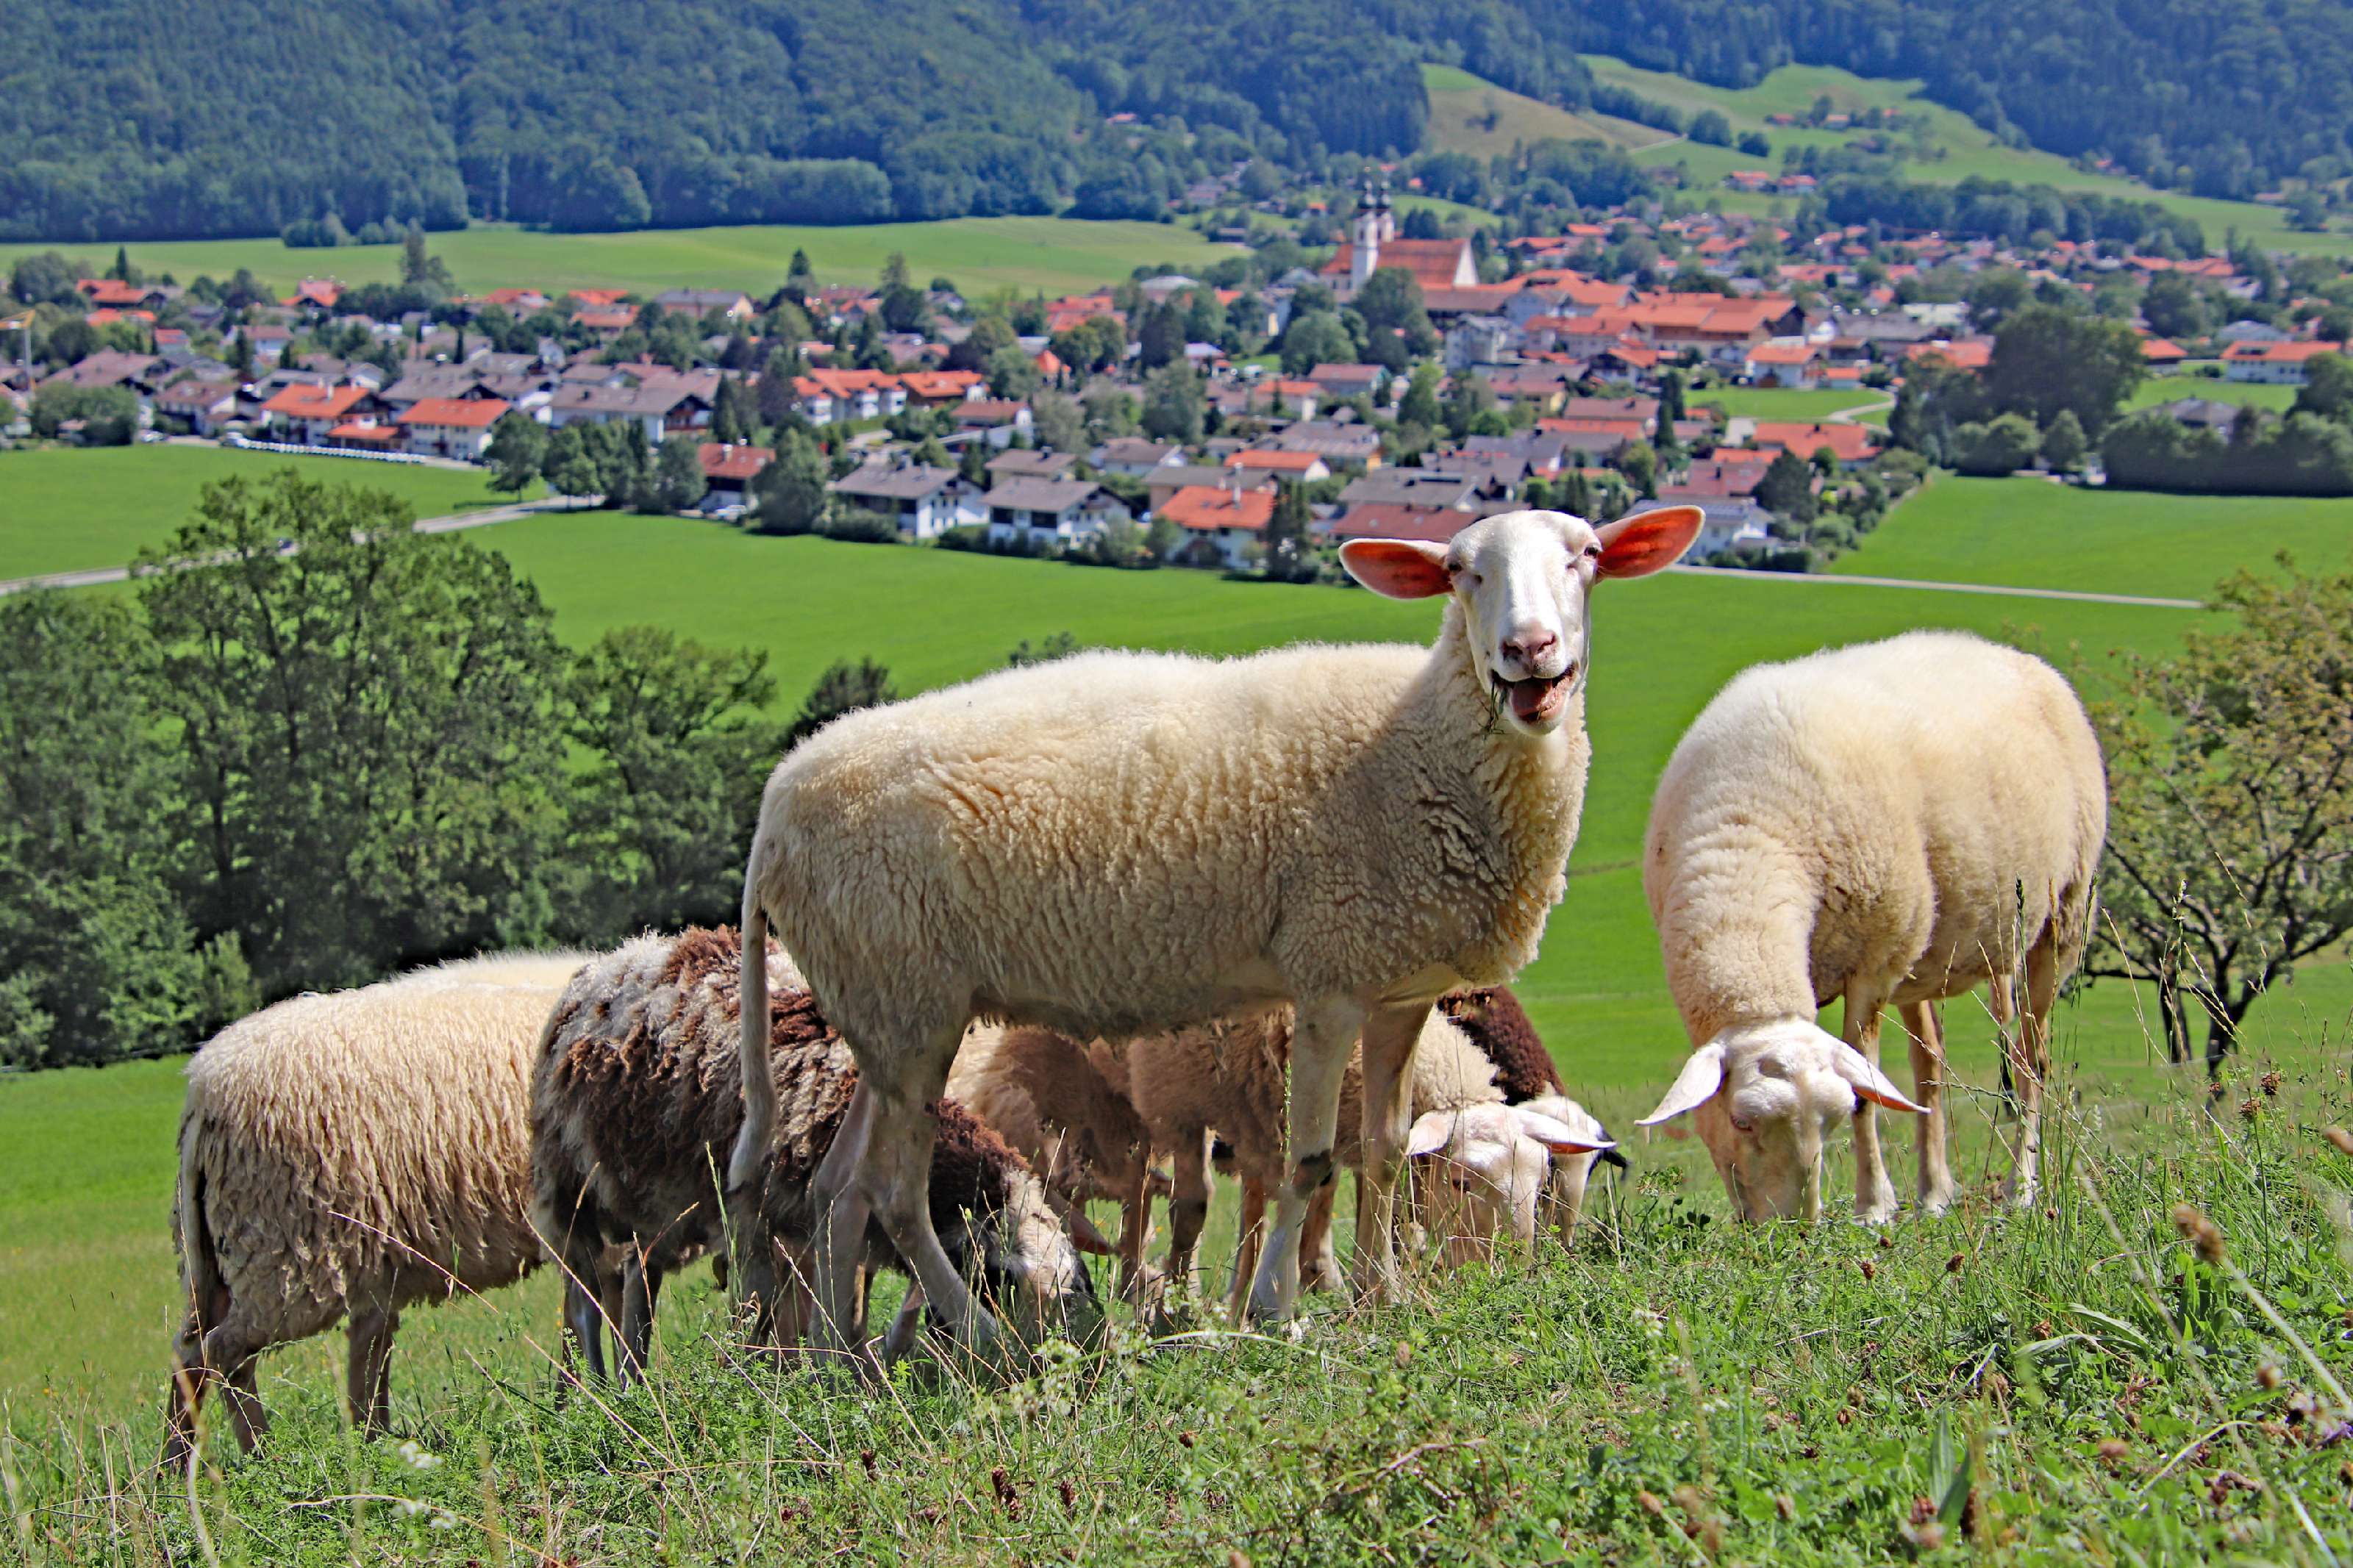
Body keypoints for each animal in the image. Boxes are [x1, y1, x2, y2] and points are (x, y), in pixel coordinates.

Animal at [163, 952, 588, 1463]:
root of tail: (201, 1090)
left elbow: (578, 1318)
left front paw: (577, 1402)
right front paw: (589, 1402)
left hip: (240, 1259)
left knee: (208, 1353)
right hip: (286, 1255)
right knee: (221, 1354)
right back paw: (258, 1460)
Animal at [532, 928, 1100, 1377]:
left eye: (1073, 1294)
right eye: (1007, 1286)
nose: (1061, 1375)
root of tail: (624, 954)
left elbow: (843, 1310)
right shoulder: (750, 1220)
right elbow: (756, 1315)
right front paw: (751, 1384)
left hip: (662, 1202)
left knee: (637, 1277)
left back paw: (633, 1382)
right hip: (568, 1190)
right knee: (583, 1300)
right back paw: (590, 1389)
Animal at [732, 505, 1704, 1355]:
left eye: (1585, 556)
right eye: (1461, 572)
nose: (1527, 651)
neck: (1425, 738)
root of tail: (776, 805)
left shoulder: (1400, 988)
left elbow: (1385, 1152)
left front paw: (1382, 1298)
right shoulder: (1328, 974)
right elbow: (1310, 1162)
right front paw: (1277, 1312)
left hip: (887, 1015)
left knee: (838, 1186)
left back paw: (837, 1356)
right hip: (907, 1005)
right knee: (893, 1191)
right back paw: (971, 1334)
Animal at [1635, 630, 2105, 1222]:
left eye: (1826, 1124)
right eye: (1741, 1121)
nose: (1791, 1229)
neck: (1748, 842)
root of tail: (2020, 659)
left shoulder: (1872, 968)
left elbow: (1865, 1094)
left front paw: (1874, 1206)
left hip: (2060, 915)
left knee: (2030, 1063)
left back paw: (2021, 1188)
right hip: (1922, 952)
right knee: (1930, 1065)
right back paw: (1934, 1193)